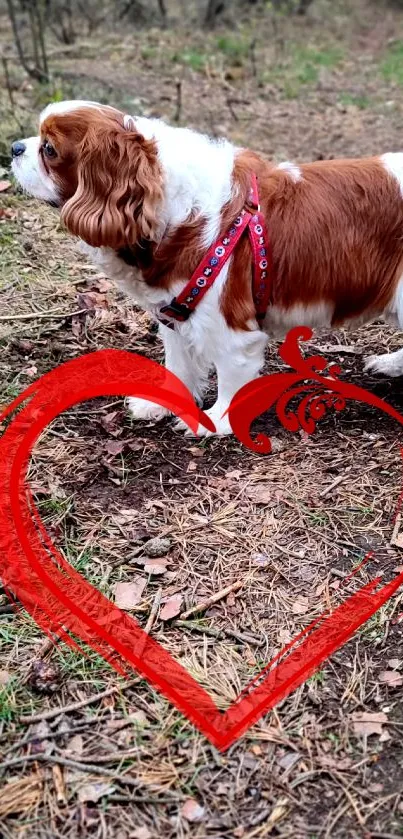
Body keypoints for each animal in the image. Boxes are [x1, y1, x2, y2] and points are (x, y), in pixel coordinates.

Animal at [10, 99, 403, 436]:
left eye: (49, 149)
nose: (14, 147)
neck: (166, 202)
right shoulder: (173, 314)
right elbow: (177, 366)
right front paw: (162, 404)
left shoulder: (229, 325)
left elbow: (231, 376)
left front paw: (215, 420)